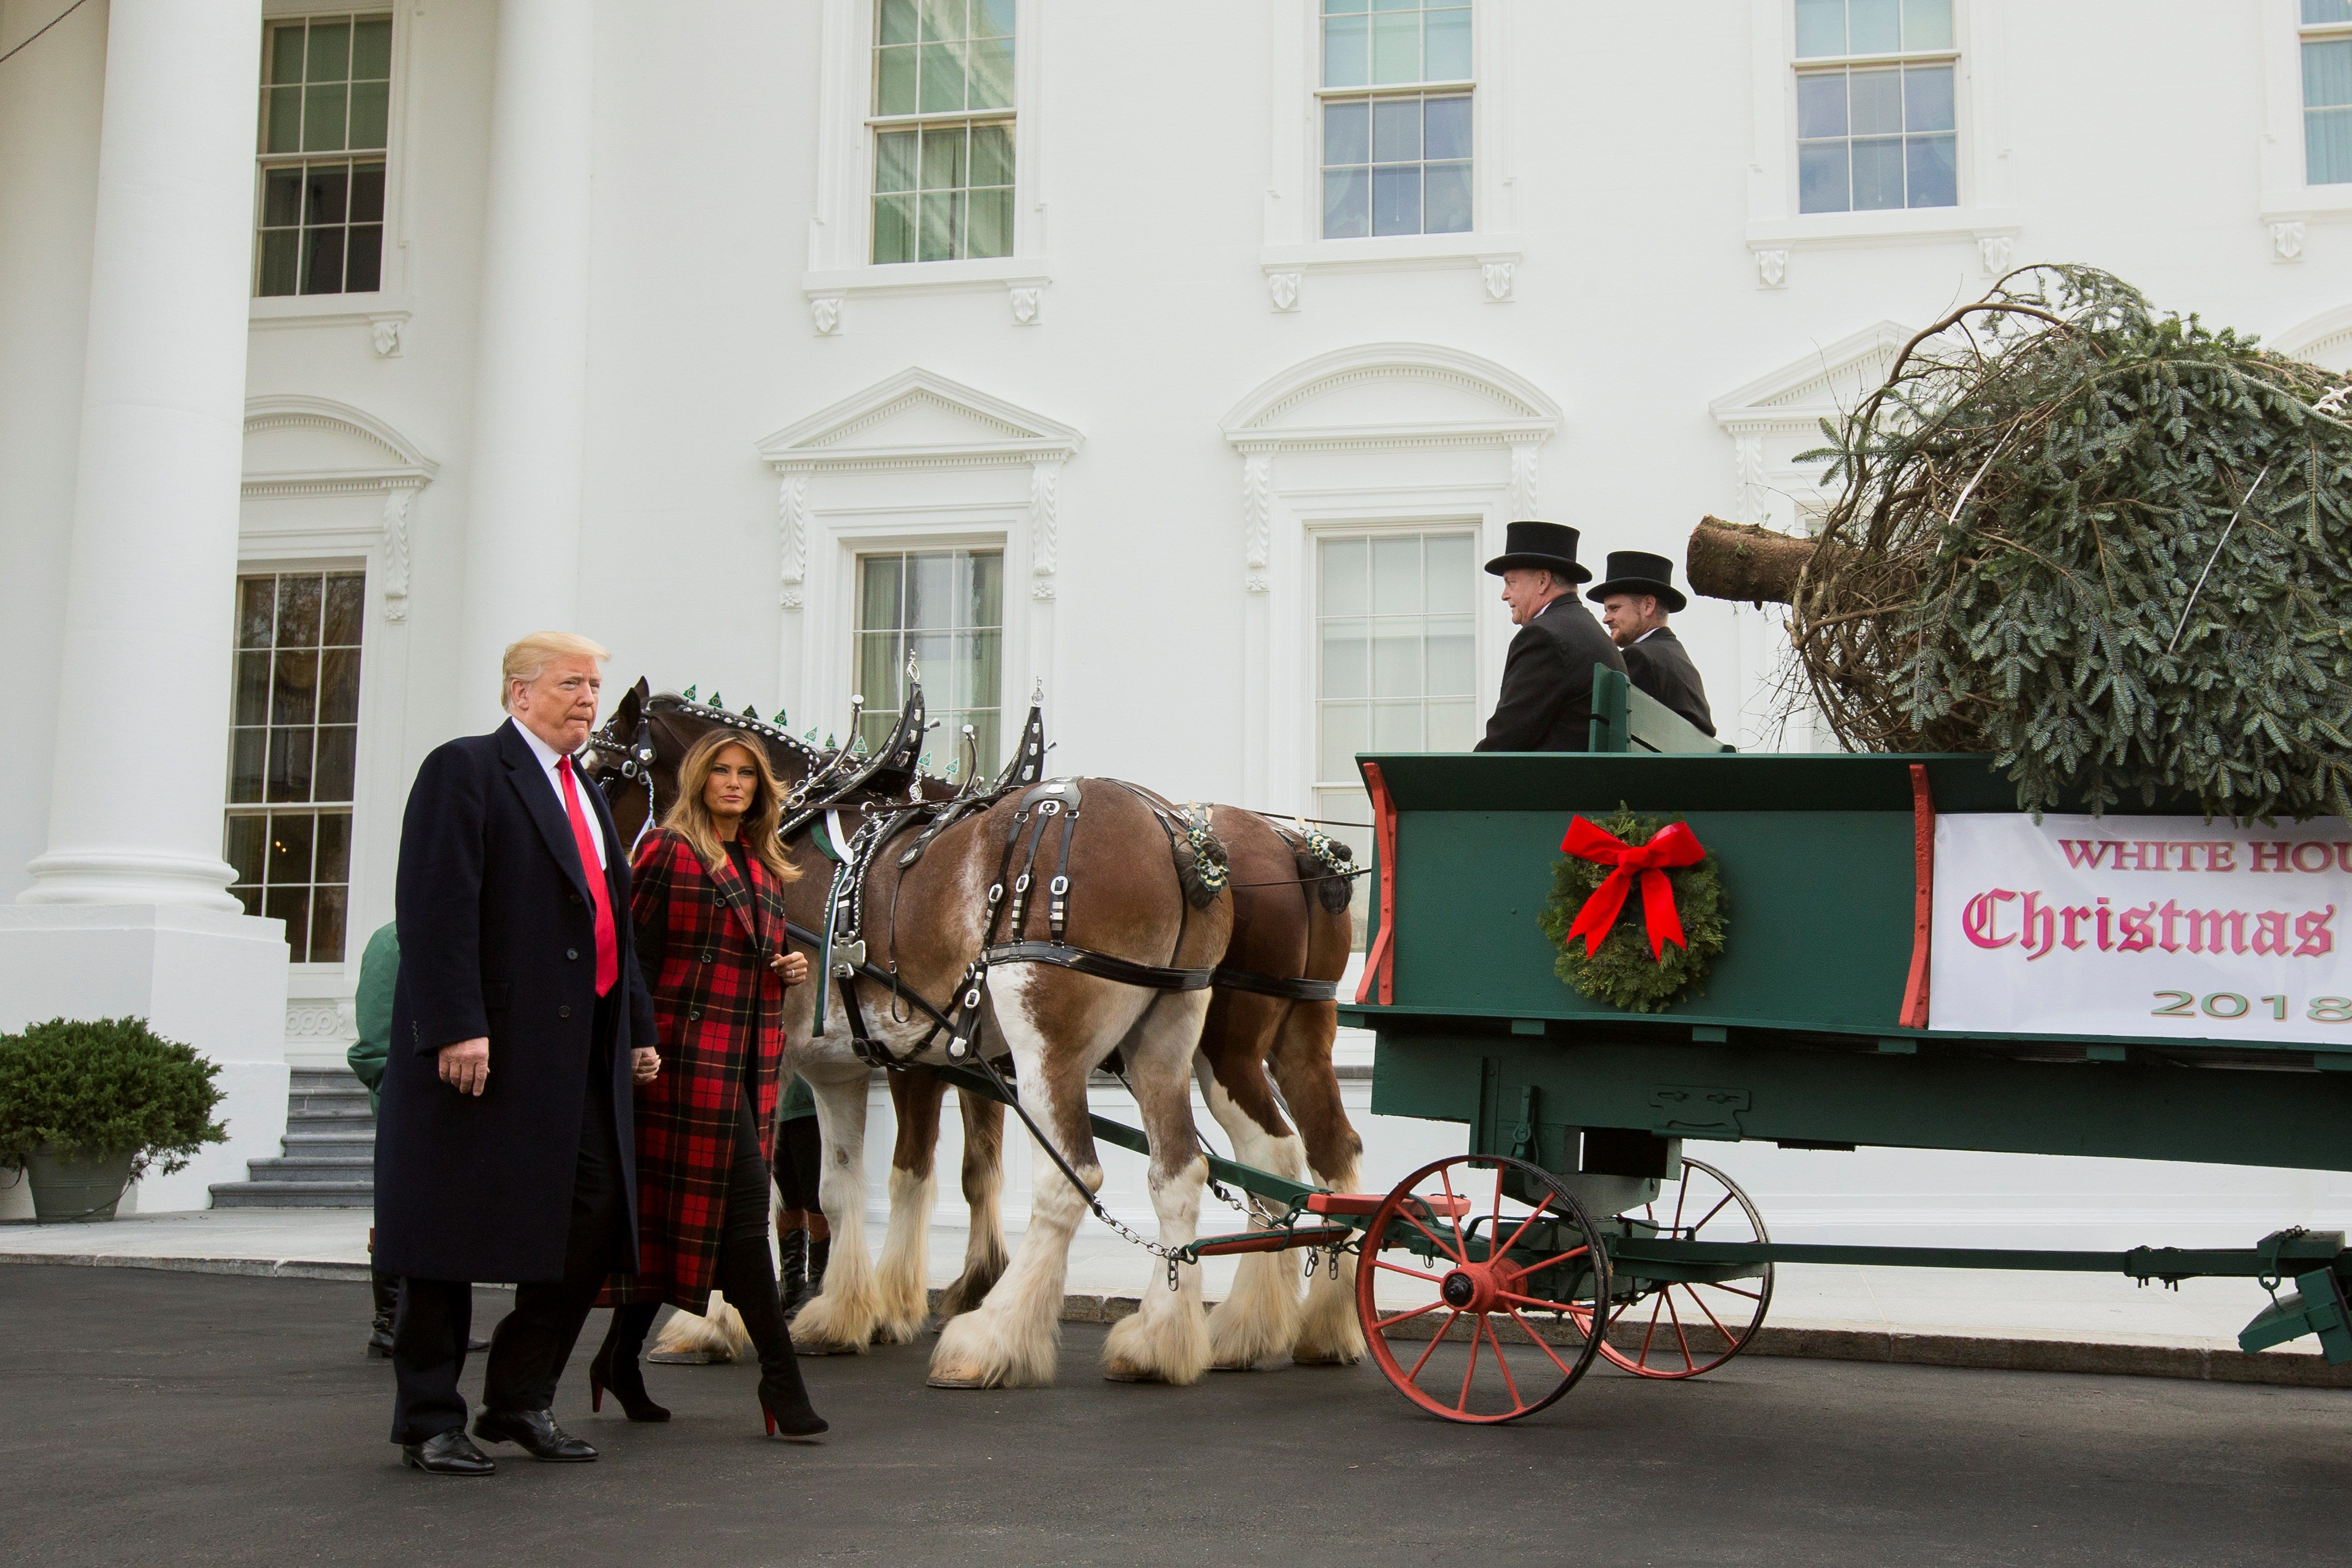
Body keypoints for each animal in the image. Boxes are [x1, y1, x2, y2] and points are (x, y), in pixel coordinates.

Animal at [581, 681, 1373, 1382]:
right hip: (1213, 1037)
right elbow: (849, 1184)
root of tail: (1190, 841)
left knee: (1083, 1176)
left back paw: (997, 1338)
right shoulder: (847, 1064)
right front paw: (844, 1314)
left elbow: (801, 1180)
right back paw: (1202, 1336)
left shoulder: (816, 1054)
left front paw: (713, 1322)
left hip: (1085, 1038)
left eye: (601, 771)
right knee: (1237, 1164)